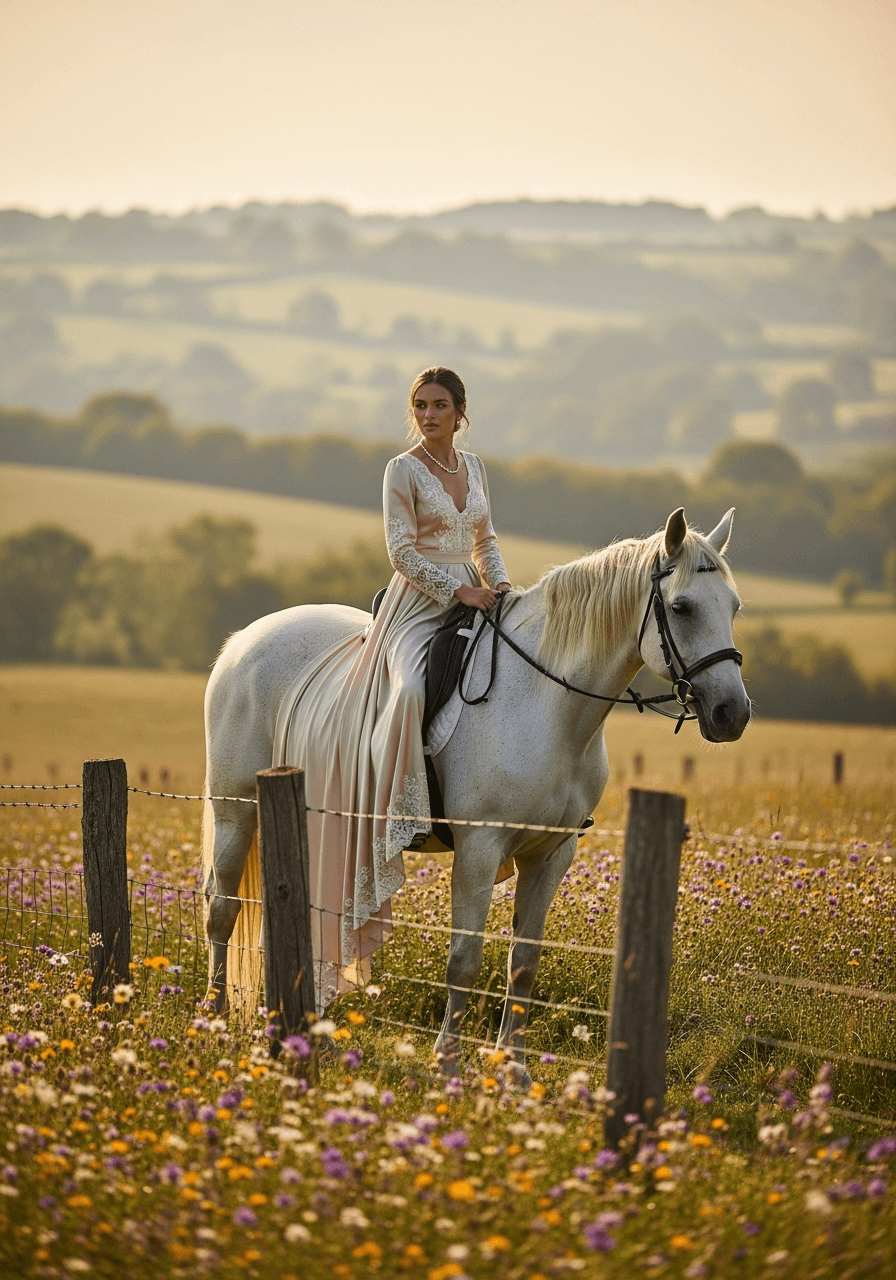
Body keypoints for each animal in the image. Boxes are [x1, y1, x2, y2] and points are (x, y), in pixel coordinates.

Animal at [201, 507, 750, 1077]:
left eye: (733, 607)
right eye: (682, 607)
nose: (732, 714)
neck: (547, 705)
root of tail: (242, 641)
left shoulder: (551, 854)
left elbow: (523, 963)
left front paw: (514, 1068)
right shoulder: (479, 850)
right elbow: (463, 960)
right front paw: (448, 1065)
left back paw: (308, 1033)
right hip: (237, 812)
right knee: (221, 907)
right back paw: (214, 1018)